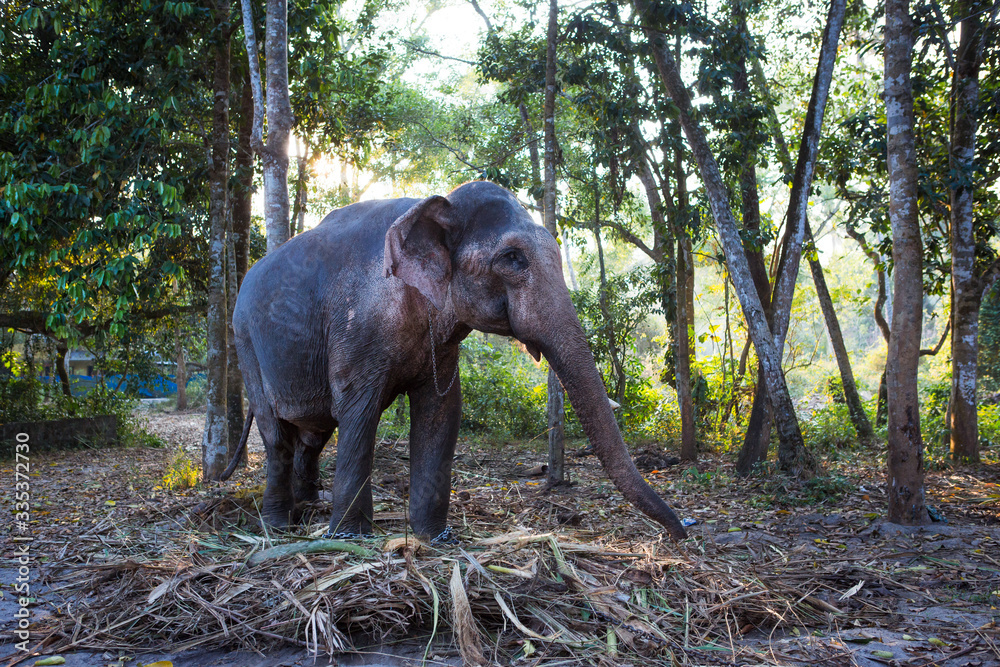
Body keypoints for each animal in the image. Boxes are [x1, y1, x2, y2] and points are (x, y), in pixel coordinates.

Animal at [223, 180, 687, 542]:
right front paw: (349, 538)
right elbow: (359, 413)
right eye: (513, 258)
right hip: (245, 341)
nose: (681, 534)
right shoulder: (356, 328)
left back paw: (310, 507)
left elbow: (441, 412)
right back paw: (279, 525)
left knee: (313, 434)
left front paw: (435, 538)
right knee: (277, 434)